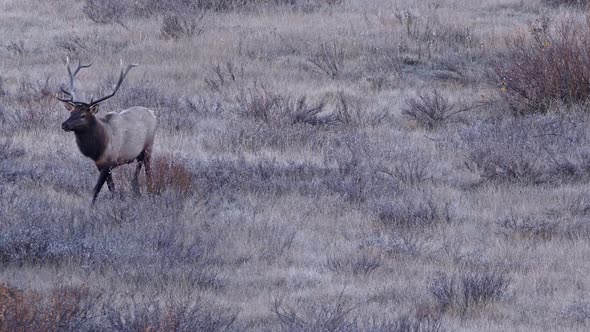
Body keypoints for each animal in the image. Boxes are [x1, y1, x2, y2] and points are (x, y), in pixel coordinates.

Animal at [59, 59, 157, 205]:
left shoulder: (109, 162)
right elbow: (112, 188)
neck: (98, 148)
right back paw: (136, 191)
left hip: (149, 146)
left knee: (149, 173)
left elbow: (96, 189)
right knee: (138, 168)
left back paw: (150, 193)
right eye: (71, 112)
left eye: (83, 115)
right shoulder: (100, 164)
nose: (64, 124)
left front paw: (91, 207)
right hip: (138, 153)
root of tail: (153, 113)